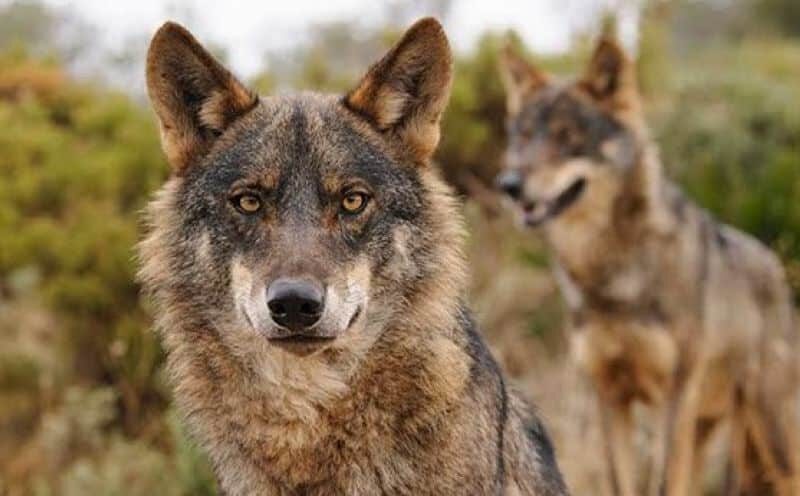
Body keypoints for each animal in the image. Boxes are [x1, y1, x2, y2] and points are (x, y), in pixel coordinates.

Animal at [496, 38, 799, 495]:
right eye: (525, 136)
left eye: (568, 137)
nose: (510, 185)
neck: (611, 277)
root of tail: (774, 264)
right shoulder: (609, 395)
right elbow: (621, 482)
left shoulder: (673, 396)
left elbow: (659, 482)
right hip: (709, 431)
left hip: (767, 433)